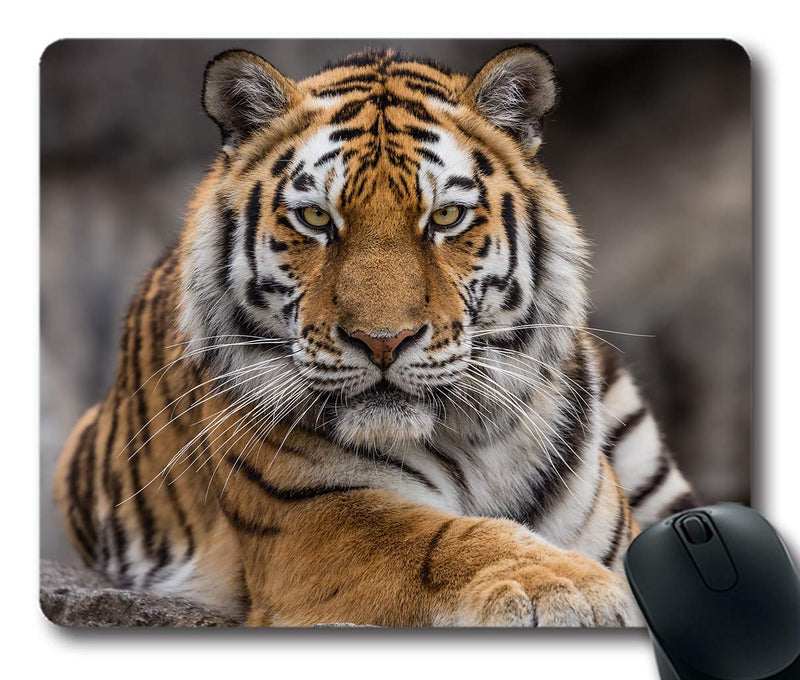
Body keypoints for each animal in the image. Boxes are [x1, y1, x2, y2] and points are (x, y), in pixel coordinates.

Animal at [55, 45, 698, 627]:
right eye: (316, 219)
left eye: (445, 218)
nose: (383, 341)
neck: (476, 442)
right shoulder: (314, 518)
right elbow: (443, 541)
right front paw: (566, 587)